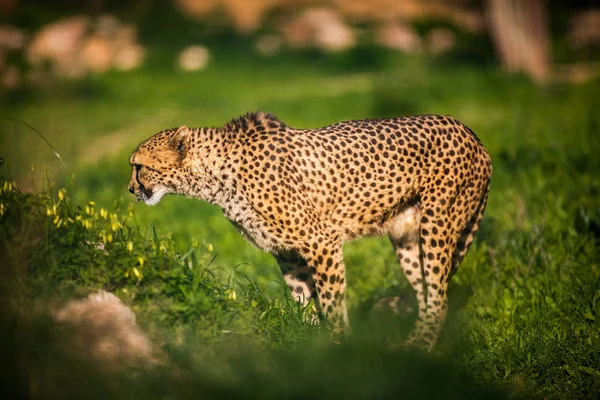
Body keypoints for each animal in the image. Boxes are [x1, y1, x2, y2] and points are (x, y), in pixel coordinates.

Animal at [129, 111, 490, 348]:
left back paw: (418, 349)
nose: (131, 190)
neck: (218, 173)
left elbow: (331, 301)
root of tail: (472, 134)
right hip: (406, 237)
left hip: (437, 225)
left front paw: (340, 345)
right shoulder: (287, 252)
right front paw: (313, 348)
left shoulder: (322, 242)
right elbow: (303, 300)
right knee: (426, 296)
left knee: (439, 300)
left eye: (139, 166)